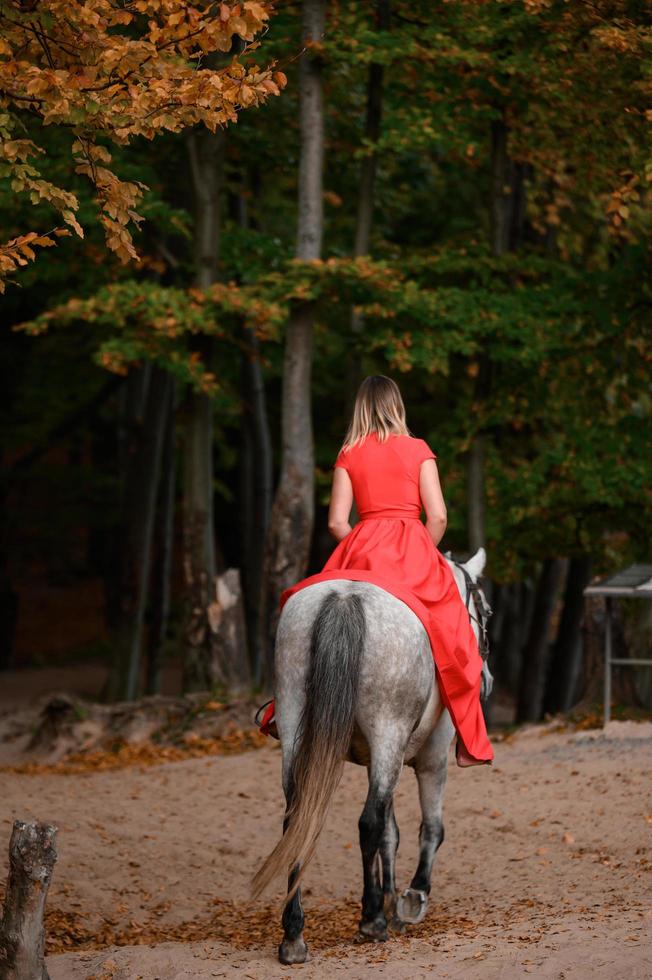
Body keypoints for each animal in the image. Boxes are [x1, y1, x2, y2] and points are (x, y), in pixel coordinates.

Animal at [252, 548, 492, 968]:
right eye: (487, 612)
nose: (488, 680)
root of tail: (345, 599)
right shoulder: (431, 755)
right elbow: (428, 828)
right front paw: (411, 898)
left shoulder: (380, 761)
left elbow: (389, 834)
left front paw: (392, 896)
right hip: (388, 731)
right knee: (367, 823)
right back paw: (371, 920)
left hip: (299, 728)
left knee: (298, 819)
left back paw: (294, 935)